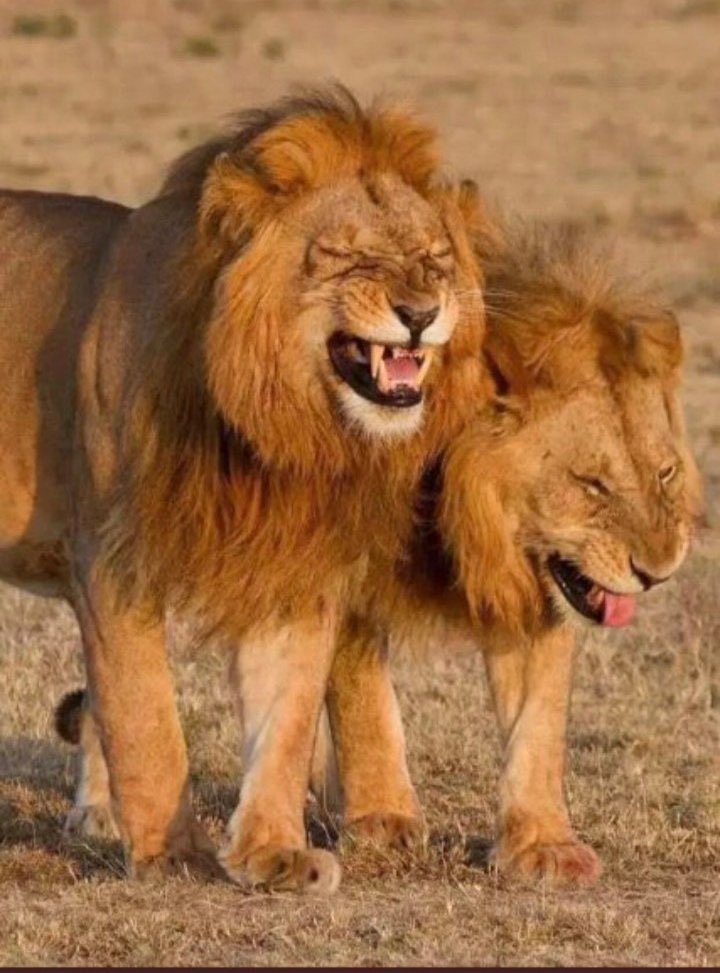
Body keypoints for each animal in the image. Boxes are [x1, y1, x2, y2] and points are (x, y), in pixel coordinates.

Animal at [0, 85, 487, 892]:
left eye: (434, 259)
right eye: (346, 255)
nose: (420, 315)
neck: (277, 428)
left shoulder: (291, 567)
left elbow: (283, 722)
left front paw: (273, 853)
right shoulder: (111, 561)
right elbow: (146, 717)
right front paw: (173, 855)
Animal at [316, 221, 702, 882]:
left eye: (666, 472)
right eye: (592, 484)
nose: (656, 572)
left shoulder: (539, 585)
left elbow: (539, 718)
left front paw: (543, 844)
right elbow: (359, 688)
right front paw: (381, 821)